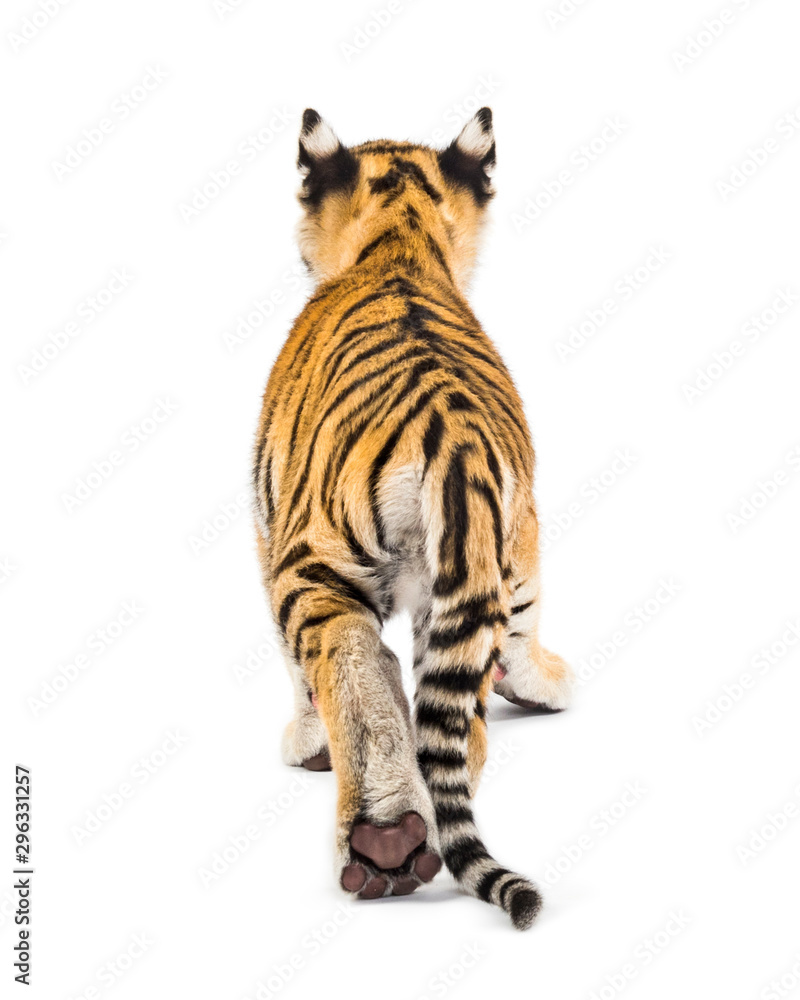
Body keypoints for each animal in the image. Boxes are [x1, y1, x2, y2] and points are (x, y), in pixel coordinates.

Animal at [252, 107, 574, 930]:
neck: (400, 237)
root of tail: (451, 435)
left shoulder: (270, 539)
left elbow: (304, 674)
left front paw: (306, 742)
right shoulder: (524, 540)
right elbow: (526, 623)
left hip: (316, 565)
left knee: (354, 665)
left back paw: (385, 835)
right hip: (477, 568)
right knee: (457, 729)